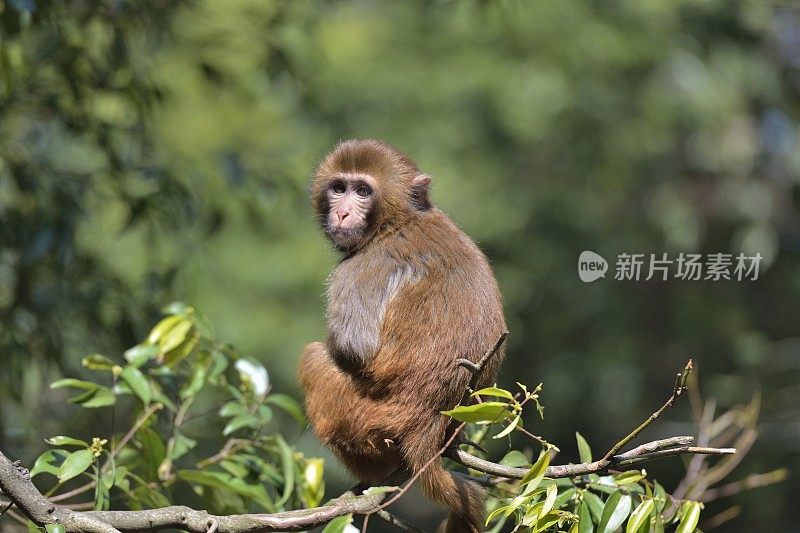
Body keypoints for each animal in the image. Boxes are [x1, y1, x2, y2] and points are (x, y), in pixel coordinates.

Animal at [296, 139, 504, 528]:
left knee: (313, 358)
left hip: (364, 416)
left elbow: (355, 348)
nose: (342, 214)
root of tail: (429, 420)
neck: (398, 221)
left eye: (363, 191)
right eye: (339, 188)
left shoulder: (359, 269)